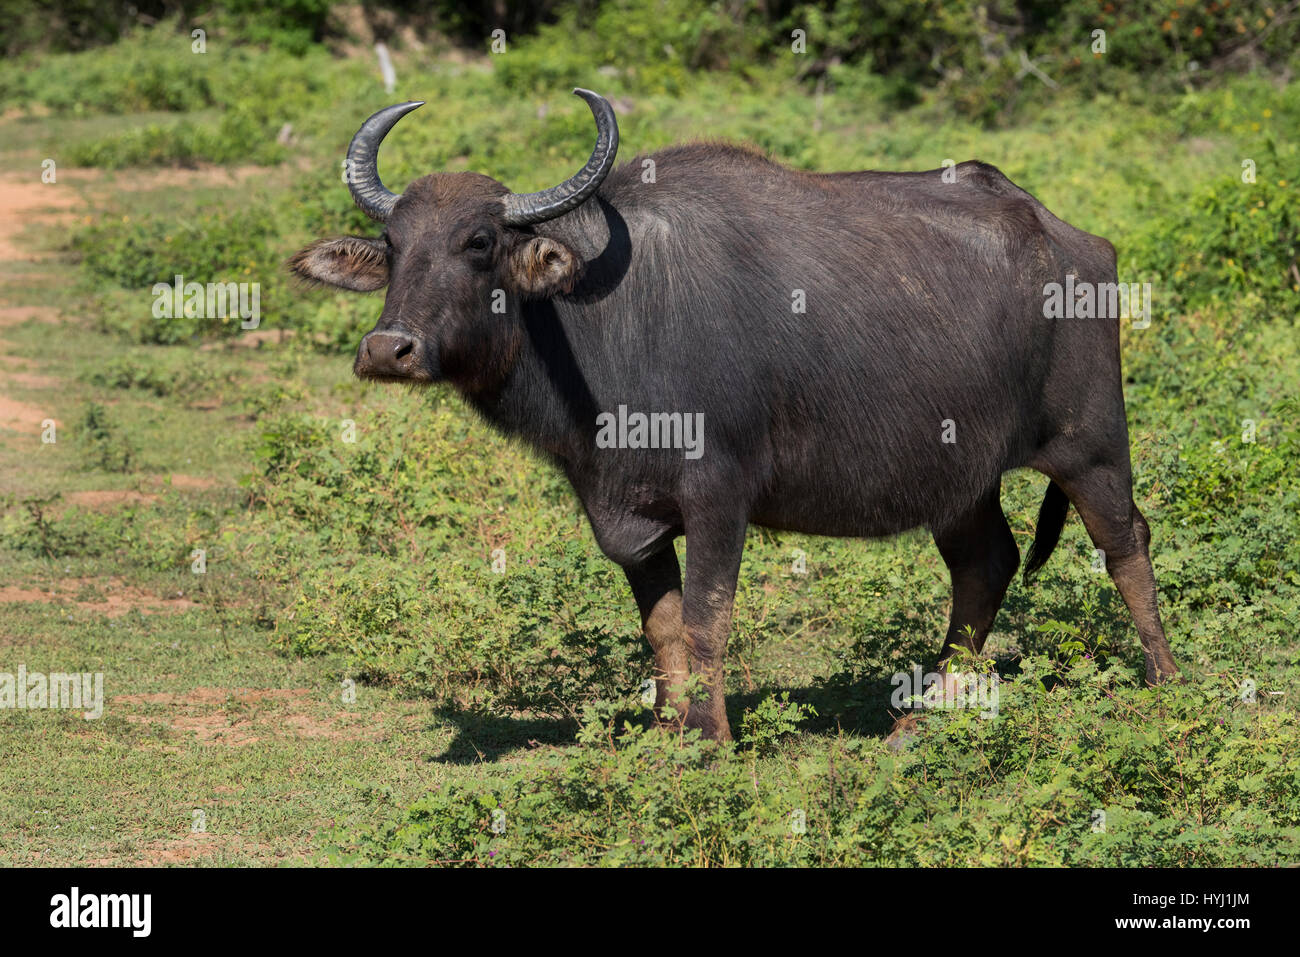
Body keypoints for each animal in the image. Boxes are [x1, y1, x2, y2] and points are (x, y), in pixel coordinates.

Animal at [292, 87, 1180, 738]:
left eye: (479, 242)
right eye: (394, 246)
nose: (388, 349)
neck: (605, 318)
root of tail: (1074, 242)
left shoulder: (720, 496)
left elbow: (706, 620)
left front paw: (712, 740)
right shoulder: (625, 515)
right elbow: (662, 628)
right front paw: (668, 735)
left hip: (1092, 445)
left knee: (1124, 543)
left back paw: (1167, 686)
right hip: (961, 477)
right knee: (985, 564)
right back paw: (919, 721)